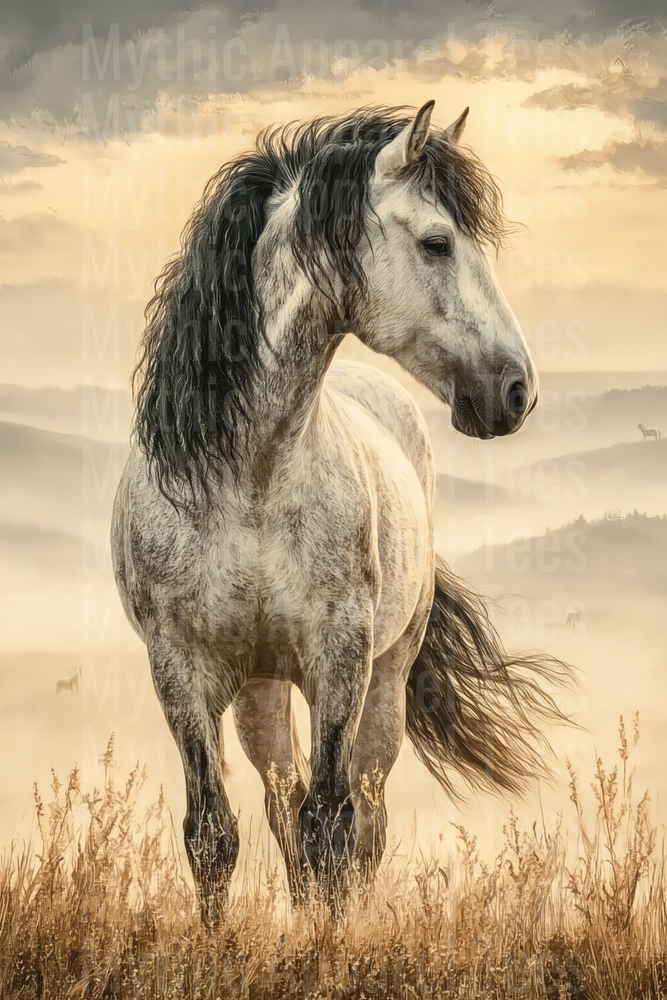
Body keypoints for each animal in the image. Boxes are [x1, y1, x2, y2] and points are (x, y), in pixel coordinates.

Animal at [111, 101, 573, 923]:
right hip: (259, 688)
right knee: (278, 799)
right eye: (436, 242)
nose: (515, 390)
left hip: (384, 678)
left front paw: (328, 941)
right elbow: (213, 835)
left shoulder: (340, 661)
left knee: (366, 815)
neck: (250, 482)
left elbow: (331, 824)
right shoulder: (180, 671)